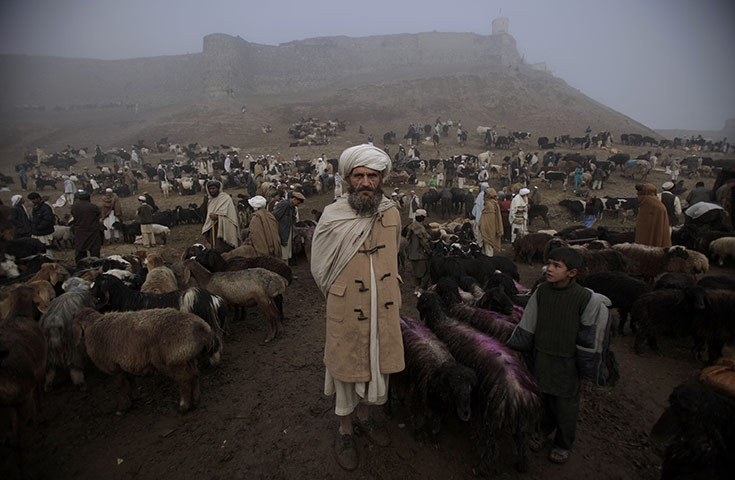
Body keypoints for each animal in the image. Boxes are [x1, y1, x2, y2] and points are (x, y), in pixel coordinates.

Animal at [72, 310, 223, 414]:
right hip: (185, 357)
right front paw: (135, 396)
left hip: (171, 361)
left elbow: (120, 386)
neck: (93, 325)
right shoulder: (126, 362)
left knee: (184, 380)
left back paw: (183, 406)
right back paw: (196, 400)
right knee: (194, 375)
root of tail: (201, 327)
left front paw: (122, 408)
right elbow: (131, 379)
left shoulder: (113, 366)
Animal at [420, 290, 540, 474]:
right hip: (519, 421)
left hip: (491, 415)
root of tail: (519, 395)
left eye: (422, 301)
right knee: (522, 445)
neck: (442, 319)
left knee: (491, 445)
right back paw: (522, 466)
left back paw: (481, 469)